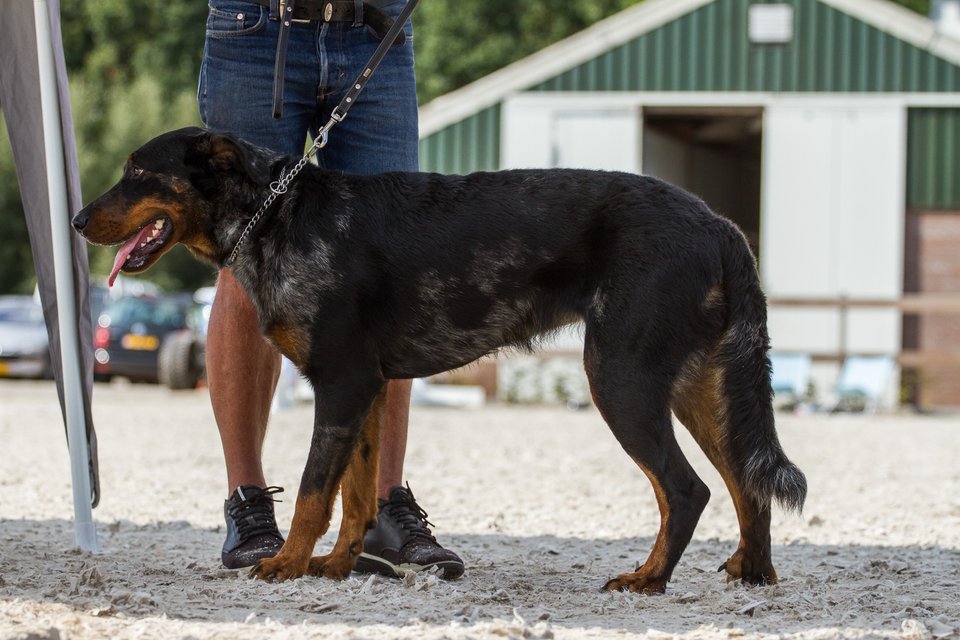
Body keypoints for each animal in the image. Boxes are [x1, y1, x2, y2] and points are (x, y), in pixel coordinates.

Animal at [73, 126, 806, 593]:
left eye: (139, 172)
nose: (78, 220)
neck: (278, 216)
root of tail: (720, 226)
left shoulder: (341, 385)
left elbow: (313, 491)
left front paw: (287, 563)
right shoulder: (365, 389)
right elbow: (354, 494)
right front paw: (336, 566)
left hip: (622, 380)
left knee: (687, 489)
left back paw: (650, 579)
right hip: (696, 386)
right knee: (747, 482)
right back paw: (754, 573)